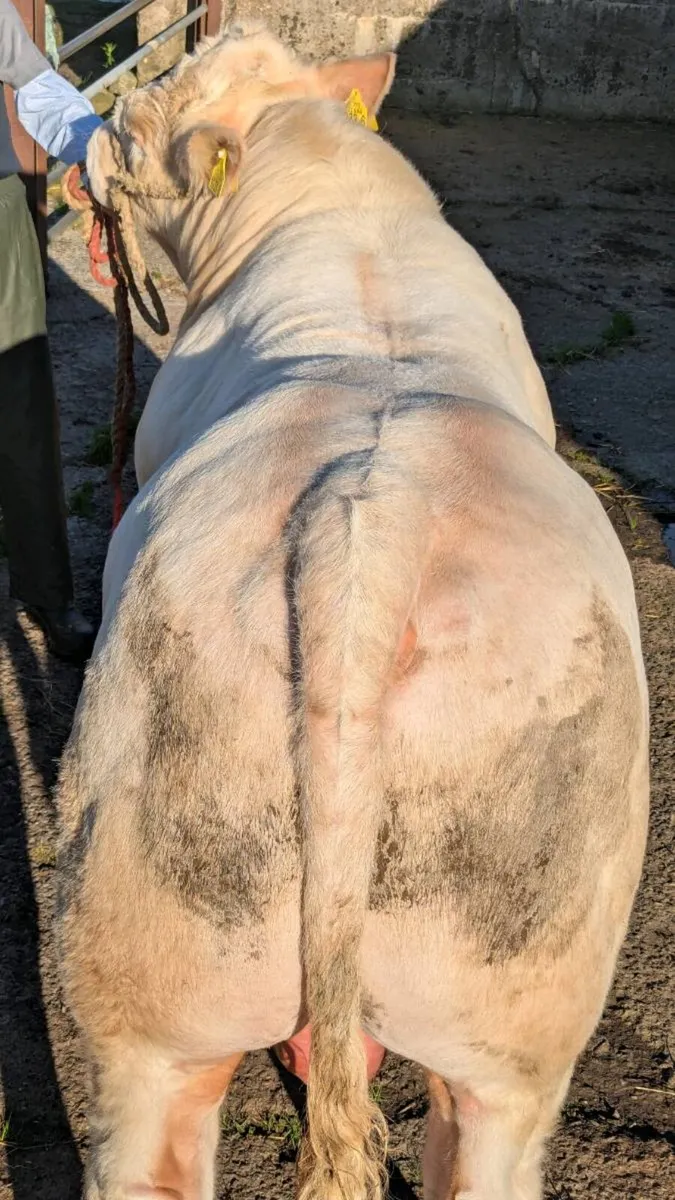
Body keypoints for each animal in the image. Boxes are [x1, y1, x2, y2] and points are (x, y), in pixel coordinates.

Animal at [57, 21, 649, 1200]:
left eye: (139, 122)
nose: (91, 135)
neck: (325, 188)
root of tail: (371, 508)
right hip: (515, 981)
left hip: (152, 953)